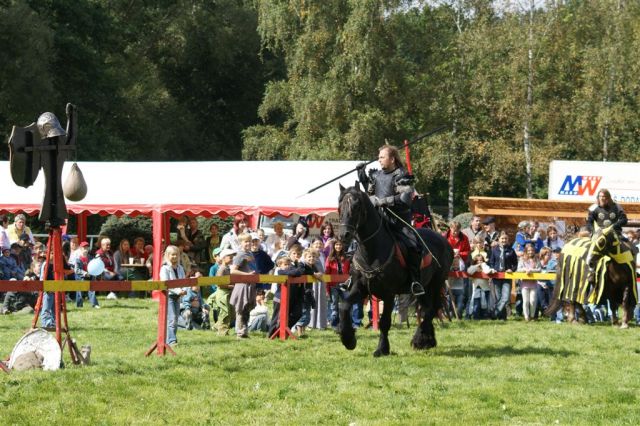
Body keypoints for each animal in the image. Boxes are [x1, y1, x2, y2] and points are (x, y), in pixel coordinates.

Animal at [338, 183, 452, 356]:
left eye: (356, 207)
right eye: (340, 207)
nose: (344, 235)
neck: (371, 250)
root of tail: (443, 239)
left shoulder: (389, 294)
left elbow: (385, 322)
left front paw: (382, 349)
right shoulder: (360, 288)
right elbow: (344, 305)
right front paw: (348, 339)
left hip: (436, 283)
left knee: (431, 310)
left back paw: (419, 339)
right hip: (425, 287)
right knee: (427, 309)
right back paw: (426, 340)